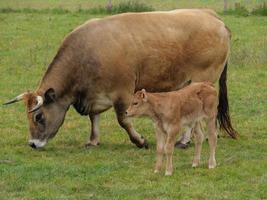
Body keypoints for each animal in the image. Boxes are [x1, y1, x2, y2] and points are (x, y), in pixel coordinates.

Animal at [2, 9, 237, 148]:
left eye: (39, 117)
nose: (32, 143)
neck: (87, 53)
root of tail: (211, 15)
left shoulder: (123, 92)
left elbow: (123, 119)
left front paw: (140, 141)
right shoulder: (94, 95)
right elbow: (93, 118)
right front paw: (93, 140)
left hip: (202, 79)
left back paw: (185, 140)